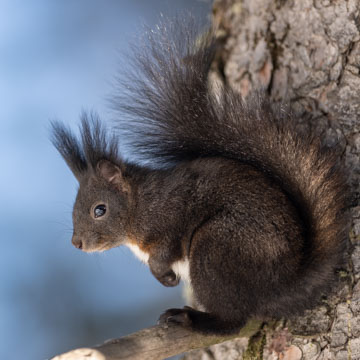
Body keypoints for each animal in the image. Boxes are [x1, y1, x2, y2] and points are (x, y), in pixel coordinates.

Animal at [50, 16, 348, 334]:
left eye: (100, 210)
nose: (77, 243)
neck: (139, 206)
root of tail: (281, 285)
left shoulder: (170, 217)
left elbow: (163, 252)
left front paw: (165, 276)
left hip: (216, 247)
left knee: (232, 320)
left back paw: (189, 318)